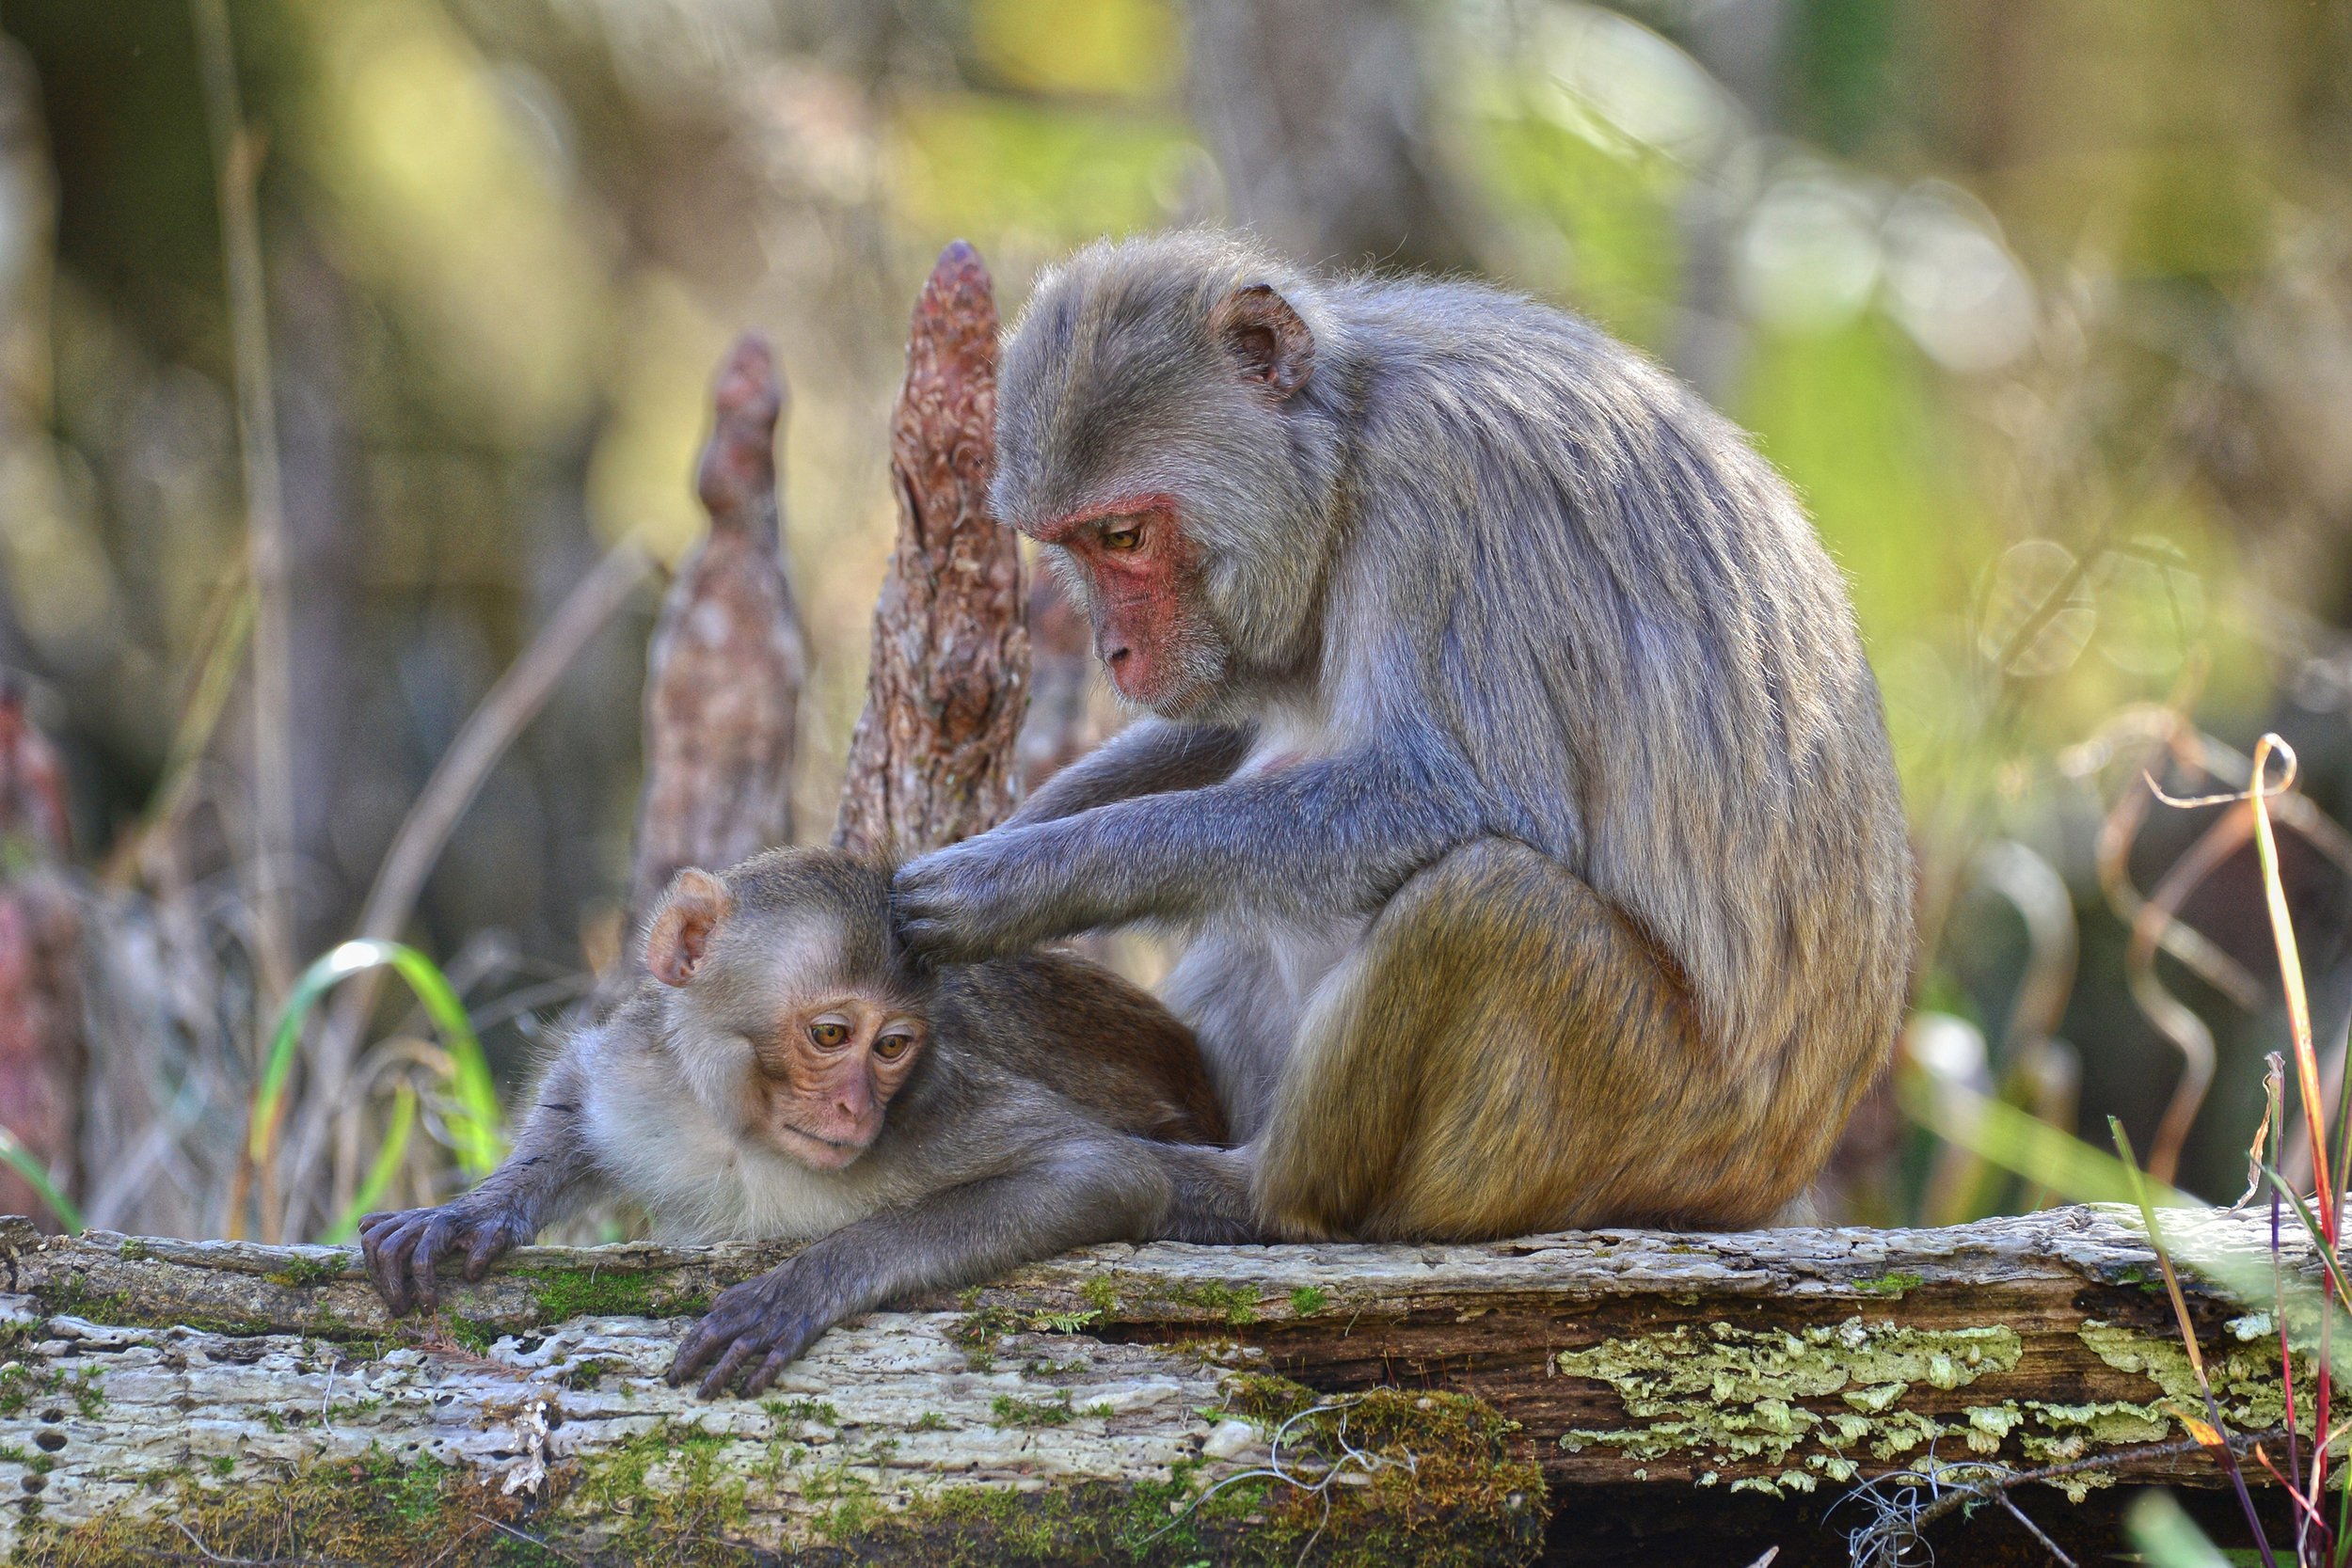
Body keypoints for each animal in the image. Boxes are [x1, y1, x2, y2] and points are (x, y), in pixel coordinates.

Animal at [357, 847, 1248, 1396]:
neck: (743, 1131)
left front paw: (802, 1284)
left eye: (892, 1046)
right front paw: (473, 1209)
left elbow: (1103, 1171)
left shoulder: (935, 1100)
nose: (855, 1106)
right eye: (830, 1035)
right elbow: (576, 1087)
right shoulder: (644, 1068)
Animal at [890, 230, 1915, 1243]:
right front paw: (1010, 831)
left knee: (1482, 898)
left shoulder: (1446, 498)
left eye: (1123, 537)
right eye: (1071, 543)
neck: (1348, 448)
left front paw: (1028, 877)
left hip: (1638, 1118)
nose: (1116, 650)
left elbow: (1470, 797)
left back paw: (1249, 1196)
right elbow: (1240, 727)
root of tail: (1774, 1177)